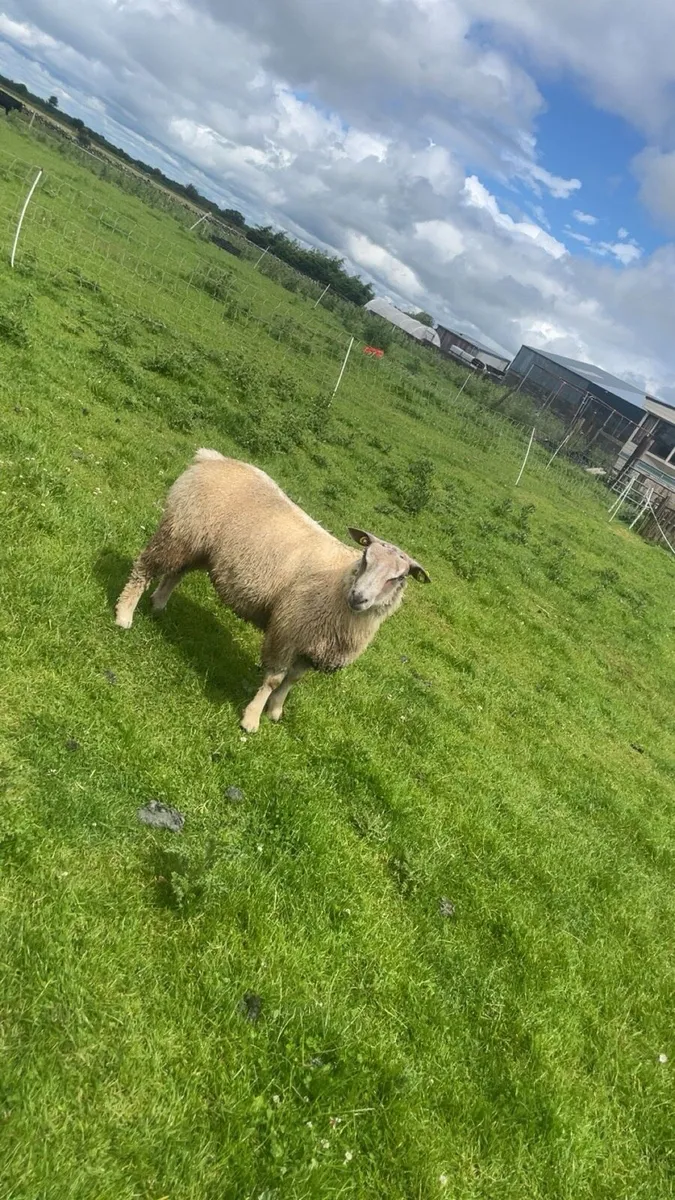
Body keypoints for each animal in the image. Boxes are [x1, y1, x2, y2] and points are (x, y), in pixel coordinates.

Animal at [115, 449, 430, 732]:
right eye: (366, 557)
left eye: (398, 578)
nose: (359, 597)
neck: (338, 586)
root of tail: (211, 458)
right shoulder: (288, 631)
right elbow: (274, 680)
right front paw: (251, 719)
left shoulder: (311, 647)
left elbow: (291, 681)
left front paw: (276, 711)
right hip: (179, 530)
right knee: (145, 568)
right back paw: (124, 614)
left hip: (197, 543)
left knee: (175, 573)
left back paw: (158, 604)